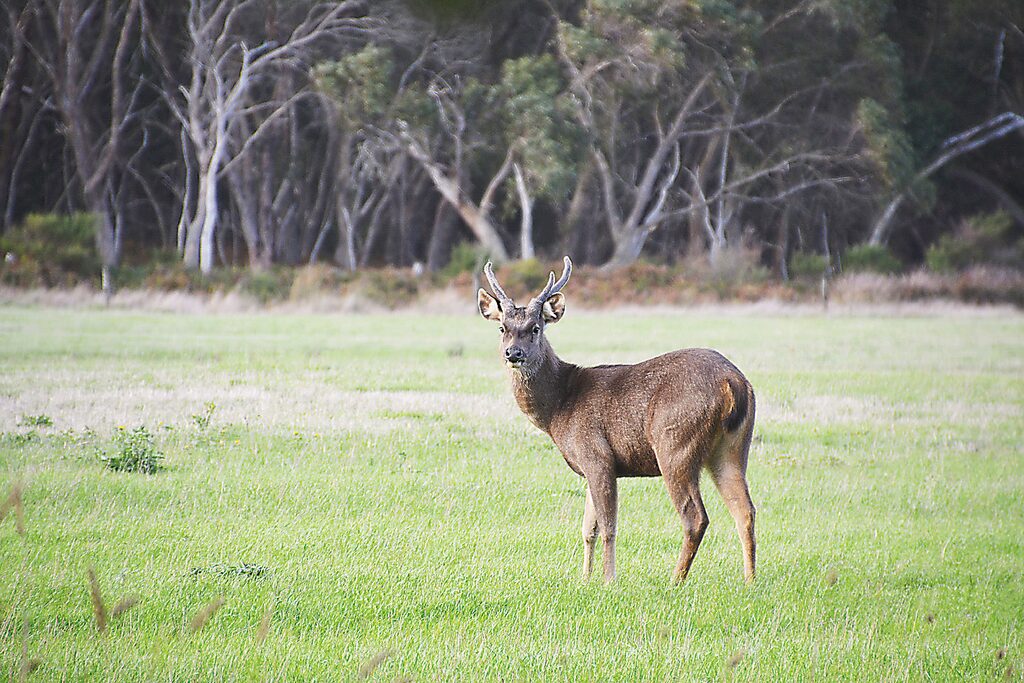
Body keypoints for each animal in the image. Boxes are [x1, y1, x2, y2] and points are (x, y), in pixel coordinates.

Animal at [477, 256, 757, 584]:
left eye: (535, 328)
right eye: (502, 327)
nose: (514, 353)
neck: (559, 408)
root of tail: (733, 383)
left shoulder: (597, 455)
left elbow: (608, 526)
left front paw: (609, 579)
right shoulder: (589, 465)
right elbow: (588, 528)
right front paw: (584, 579)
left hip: (675, 444)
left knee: (695, 516)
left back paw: (675, 580)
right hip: (732, 448)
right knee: (745, 510)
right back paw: (750, 580)